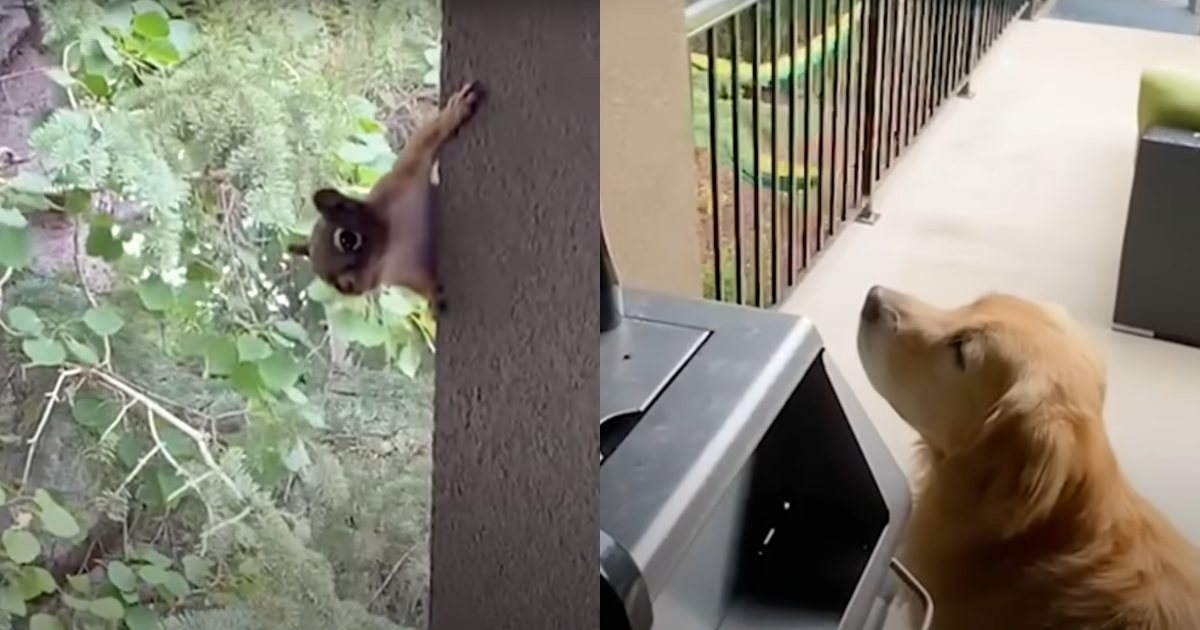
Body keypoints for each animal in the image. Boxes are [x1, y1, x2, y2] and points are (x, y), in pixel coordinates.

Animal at [288, 81, 480, 312]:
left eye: (347, 239)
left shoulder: (401, 181)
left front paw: (453, 113)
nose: (351, 286)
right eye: (332, 282)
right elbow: (422, 284)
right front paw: (432, 297)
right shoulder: (407, 274)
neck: (390, 251)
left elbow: (425, 141)